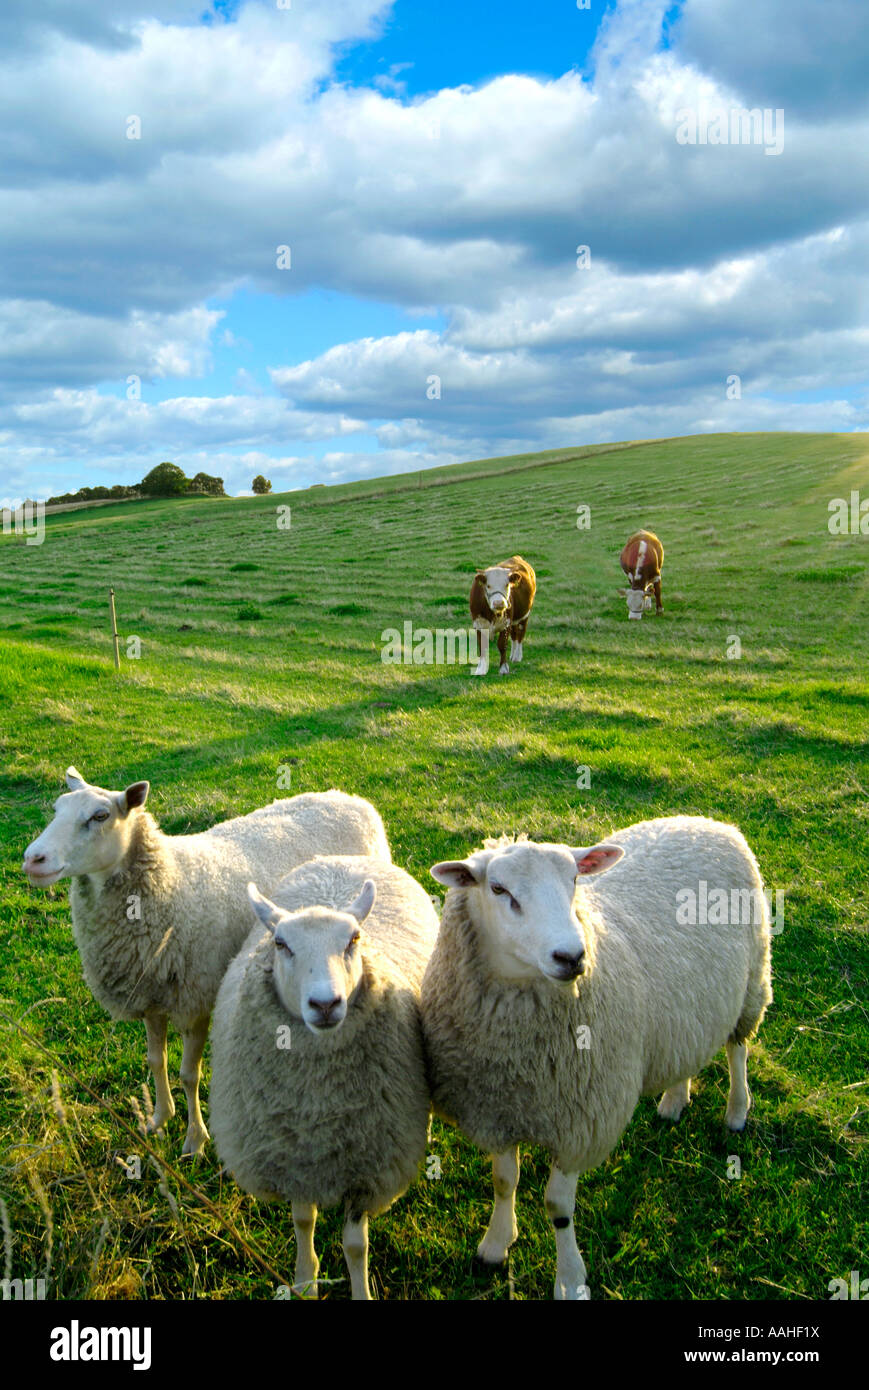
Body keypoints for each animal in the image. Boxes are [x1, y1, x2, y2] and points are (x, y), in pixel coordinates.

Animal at [22, 772, 389, 1150]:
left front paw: (195, 1139)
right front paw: (159, 1118)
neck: (171, 881)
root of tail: (349, 797)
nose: (32, 859)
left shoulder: (196, 999)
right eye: (57, 809)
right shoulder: (150, 995)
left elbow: (189, 1075)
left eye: (100, 816)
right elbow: (155, 1061)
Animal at [208, 850, 439, 1295]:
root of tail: (343, 859)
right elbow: (303, 1221)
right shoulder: (294, 1158)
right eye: (281, 944)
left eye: (354, 939)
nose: (326, 1004)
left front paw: (361, 1291)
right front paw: (304, 1283)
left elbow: (355, 1246)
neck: (320, 1106)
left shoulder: (366, 1168)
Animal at [419, 817, 773, 1295]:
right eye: (497, 888)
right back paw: (674, 1101)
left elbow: (557, 1208)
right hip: (685, 1012)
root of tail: (708, 822)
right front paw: (495, 1244)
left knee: (738, 1049)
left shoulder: (581, 1122)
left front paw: (570, 1279)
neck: (519, 1052)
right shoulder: (497, 1110)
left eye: (574, 880)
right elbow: (503, 1181)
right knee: (688, 1052)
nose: (571, 956)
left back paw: (737, 1111)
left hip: (753, 976)